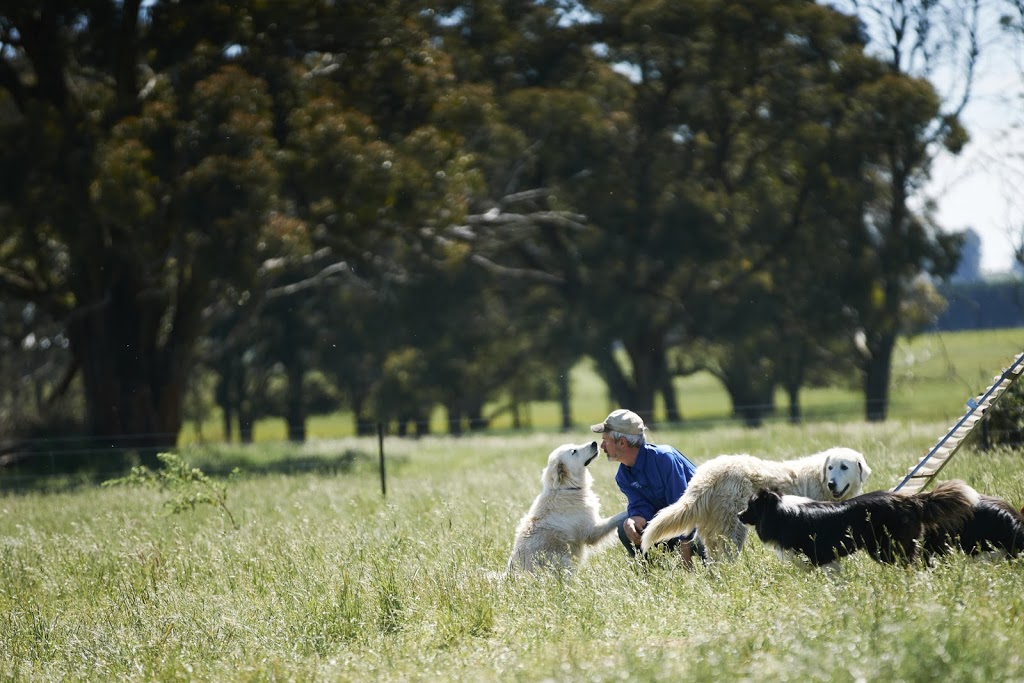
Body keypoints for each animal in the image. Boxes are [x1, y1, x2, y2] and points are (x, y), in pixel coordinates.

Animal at [507, 440, 626, 573]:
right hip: (564, 562)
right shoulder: (591, 531)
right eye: (574, 451)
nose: (594, 443)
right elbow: (615, 518)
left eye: (575, 445)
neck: (566, 488)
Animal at [643, 446, 868, 565]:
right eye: (830, 467)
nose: (832, 483)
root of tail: (706, 476)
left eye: (844, 467)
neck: (819, 480)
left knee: (714, 558)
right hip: (733, 526)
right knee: (727, 556)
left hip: (712, 529)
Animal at [737, 481, 974, 573]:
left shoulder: (817, 557)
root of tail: (910, 500)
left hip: (888, 548)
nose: (738, 515)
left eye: (750, 506)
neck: (778, 510)